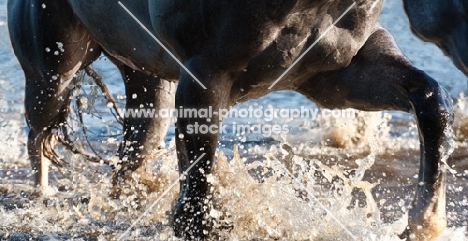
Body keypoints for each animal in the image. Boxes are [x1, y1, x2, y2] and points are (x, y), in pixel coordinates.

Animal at [7, 0, 454, 240]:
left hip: (149, 90)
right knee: (37, 140)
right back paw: (41, 201)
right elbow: (199, 189)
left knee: (129, 162)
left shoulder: (338, 75)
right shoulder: (205, 76)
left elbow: (431, 100)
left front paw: (425, 223)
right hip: (53, 74)